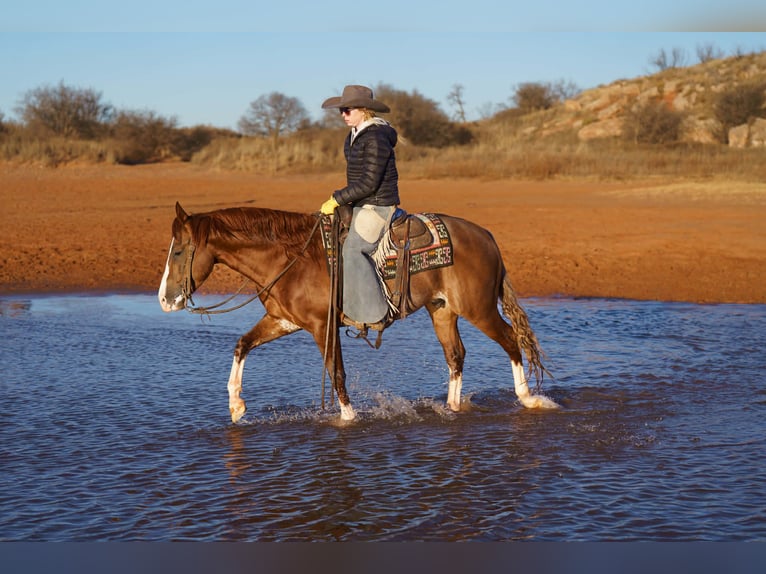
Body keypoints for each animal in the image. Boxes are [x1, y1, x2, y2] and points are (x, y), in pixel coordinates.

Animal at [158, 202, 559, 423]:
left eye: (178, 251)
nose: (165, 300)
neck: (290, 258)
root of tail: (486, 236)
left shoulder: (322, 326)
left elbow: (337, 374)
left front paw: (349, 421)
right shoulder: (284, 321)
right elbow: (242, 345)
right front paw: (236, 406)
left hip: (478, 309)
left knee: (511, 339)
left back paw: (529, 399)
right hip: (443, 311)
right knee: (456, 355)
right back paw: (451, 408)